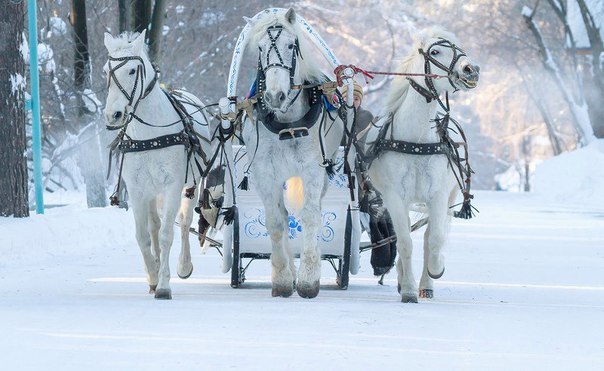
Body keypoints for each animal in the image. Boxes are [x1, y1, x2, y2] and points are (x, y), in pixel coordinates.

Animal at [101, 31, 210, 300]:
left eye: (132, 70)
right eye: (106, 70)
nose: (113, 115)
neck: (149, 135)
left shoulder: (172, 185)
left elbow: (167, 234)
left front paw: (164, 284)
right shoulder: (138, 189)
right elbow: (143, 236)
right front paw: (152, 275)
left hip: (189, 186)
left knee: (183, 224)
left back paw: (183, 265)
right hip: (152, 192)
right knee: (154, 227)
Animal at [364, 28, 482, 302]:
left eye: (460, 48)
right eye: (435, 51)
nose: (471, 69)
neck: (416, 142)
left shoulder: (438, 195)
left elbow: (435, 238)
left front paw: (435, 270)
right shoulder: (395, 197)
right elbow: (405, 241)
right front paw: (407, 289)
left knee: (429, 235)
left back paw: (427, 283)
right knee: (401, 235)